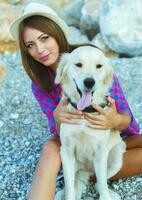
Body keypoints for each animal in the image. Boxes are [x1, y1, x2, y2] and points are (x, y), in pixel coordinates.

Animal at [55, 46, 126, 199]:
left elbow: (103, 186)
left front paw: (106, 196)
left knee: (99, 183)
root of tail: (86, 172)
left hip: (117, 155)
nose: (89, 82)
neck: (85, 112)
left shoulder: (100, 153)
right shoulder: (67, 152)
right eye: (78, 64)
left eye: (99, 66)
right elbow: (70, 189)